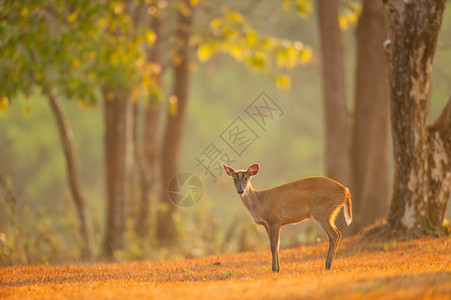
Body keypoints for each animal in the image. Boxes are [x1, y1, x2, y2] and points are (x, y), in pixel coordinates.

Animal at [222, 163, 354, 274]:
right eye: (234, 179)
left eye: (246, 178)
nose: (240, 191)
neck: (259, 204)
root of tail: (346, 191)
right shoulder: (267, 225)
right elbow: (277, 245)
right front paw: (278, 269)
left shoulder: (274, 220)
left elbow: (274, 246)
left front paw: (274, 269)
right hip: (328, 213)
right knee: (337, 234)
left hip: (322, 212)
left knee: (334, 234)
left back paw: (327, 265)